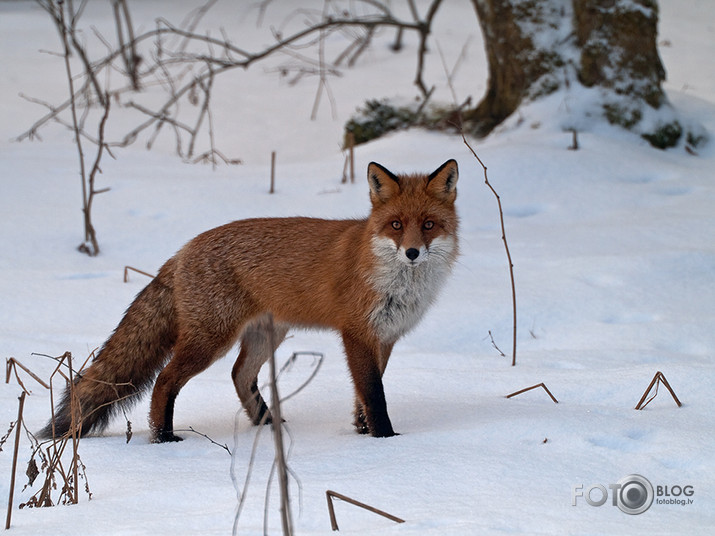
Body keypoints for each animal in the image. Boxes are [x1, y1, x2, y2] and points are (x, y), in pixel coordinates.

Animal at [42, 160, 462, 444]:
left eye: (428, 225)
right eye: (396, 225)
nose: (412, 253)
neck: (398, 284)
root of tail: (183, 249)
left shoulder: (385, 337)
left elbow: (363, 394)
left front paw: (361, 431)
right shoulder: (357, 332)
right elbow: (374, 393)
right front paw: (385, 441)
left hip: (267, 334)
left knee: (239, 376)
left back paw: (267, 425)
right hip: (211, 340)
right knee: (165, 380)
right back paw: (163, 438)